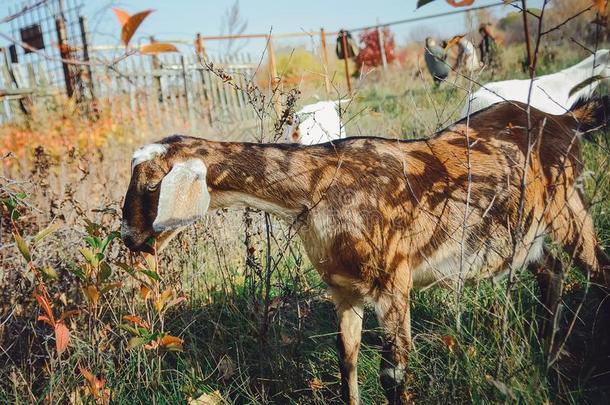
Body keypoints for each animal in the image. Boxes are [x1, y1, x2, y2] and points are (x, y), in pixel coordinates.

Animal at [120, 98, 608, 404]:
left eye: (152, 184)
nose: (127, 236)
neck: (319, 186)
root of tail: (565, 117)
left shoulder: (394, 286)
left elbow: (392, 376)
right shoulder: (343, 290)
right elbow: (347, 361)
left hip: (570, 209)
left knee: (597, 267)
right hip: (524, 236)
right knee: (551, 270)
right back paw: (547, 353)